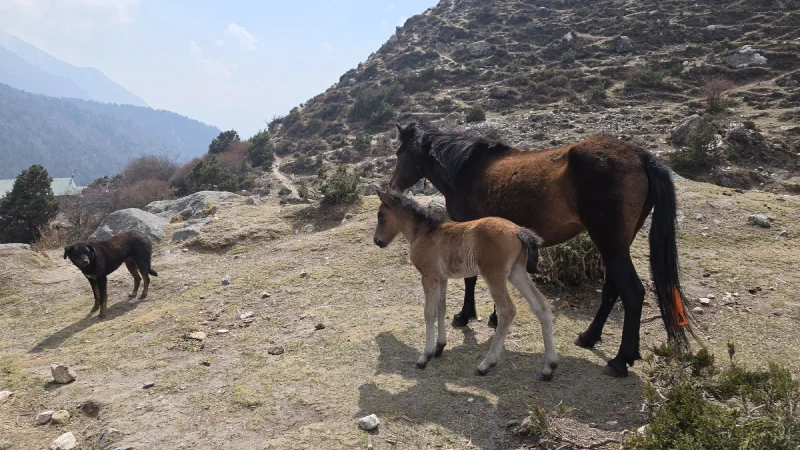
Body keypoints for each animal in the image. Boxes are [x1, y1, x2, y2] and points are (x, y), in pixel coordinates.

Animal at [372, 190, 559, 378]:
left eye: (380, 216)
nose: (377, 241)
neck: (425, 232)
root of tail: (518, 230)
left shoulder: (428, 276)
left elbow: (429, 312)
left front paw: (425, 357)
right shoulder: (442, 278)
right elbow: (441, 307)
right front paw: (439, 347)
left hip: (494, 275)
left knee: (507, 311)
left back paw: (486, 364)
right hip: (517, 272)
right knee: (541, 305)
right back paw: (549, 367)